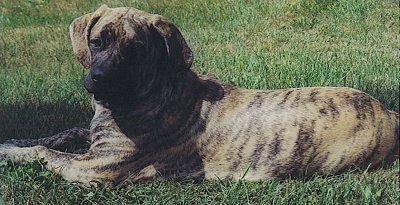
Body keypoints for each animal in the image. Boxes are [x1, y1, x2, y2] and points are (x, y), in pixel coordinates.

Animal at [0, 5, 400, 187]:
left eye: (136, 51)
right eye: (98, 41)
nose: (98, 80)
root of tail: (387, 111)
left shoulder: (96, 168)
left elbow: (46, 152)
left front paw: (11, 152)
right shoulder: (92, 140)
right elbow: (60, 134)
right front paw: (14, 140)